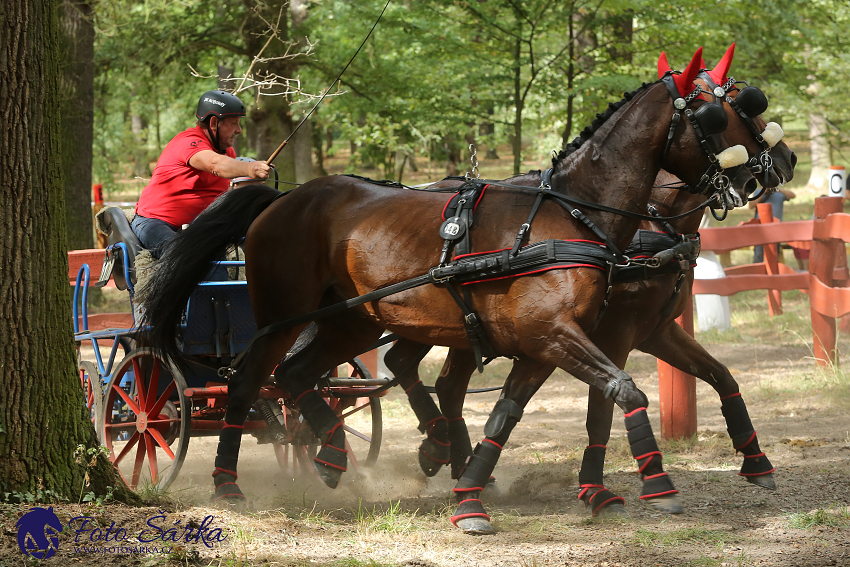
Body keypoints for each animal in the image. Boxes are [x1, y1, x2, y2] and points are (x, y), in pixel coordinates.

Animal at [141, 47, 756, 528]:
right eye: (714, 116)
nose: (761, 173)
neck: (575, 216)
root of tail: (283, 195)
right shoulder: (565, 334)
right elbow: (623, 391)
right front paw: (657, 484)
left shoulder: (551, 342)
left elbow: (511, 412)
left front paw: (474, 493)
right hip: (283, 317)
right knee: (250, 384)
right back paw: (230, 481)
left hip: (353, 320)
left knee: (300, 377)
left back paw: (340, 455)